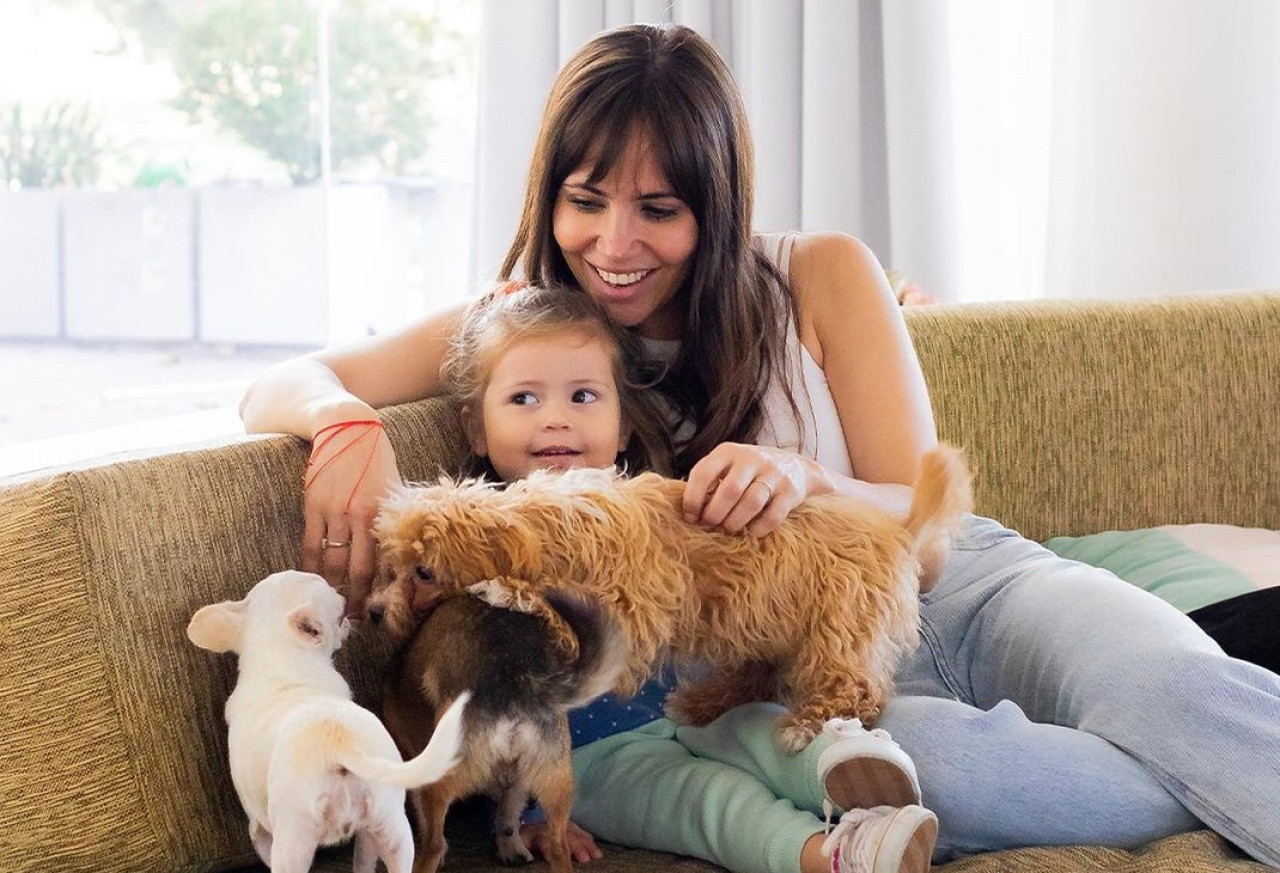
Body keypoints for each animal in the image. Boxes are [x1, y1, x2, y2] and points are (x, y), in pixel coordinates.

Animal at [189, 568, 471, 870]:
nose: (331, 582)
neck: (281, 662)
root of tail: (339, 744)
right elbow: (363, 862)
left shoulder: (260, 831)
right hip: (390, 825)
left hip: (292, 842)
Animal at [371, 578, 624, 870]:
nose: (373, 612)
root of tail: (519, 678)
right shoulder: (517, 783)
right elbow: (507, 815)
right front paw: (511, 847)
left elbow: (424, 821)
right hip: (555, 779)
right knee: (558, 847)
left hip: (443, 775)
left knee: (433, 845)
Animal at [373, 445, 972, 752]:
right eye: (391, 567)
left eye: (423, 572)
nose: (374, 612)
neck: (546, 529)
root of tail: (900, 532)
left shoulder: (632, 618)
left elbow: (567, 620)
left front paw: (510, 590)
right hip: (767, 626)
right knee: (761, 675)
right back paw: (703, 701)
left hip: (837, 632)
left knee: (860, 692)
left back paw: (809, 724)